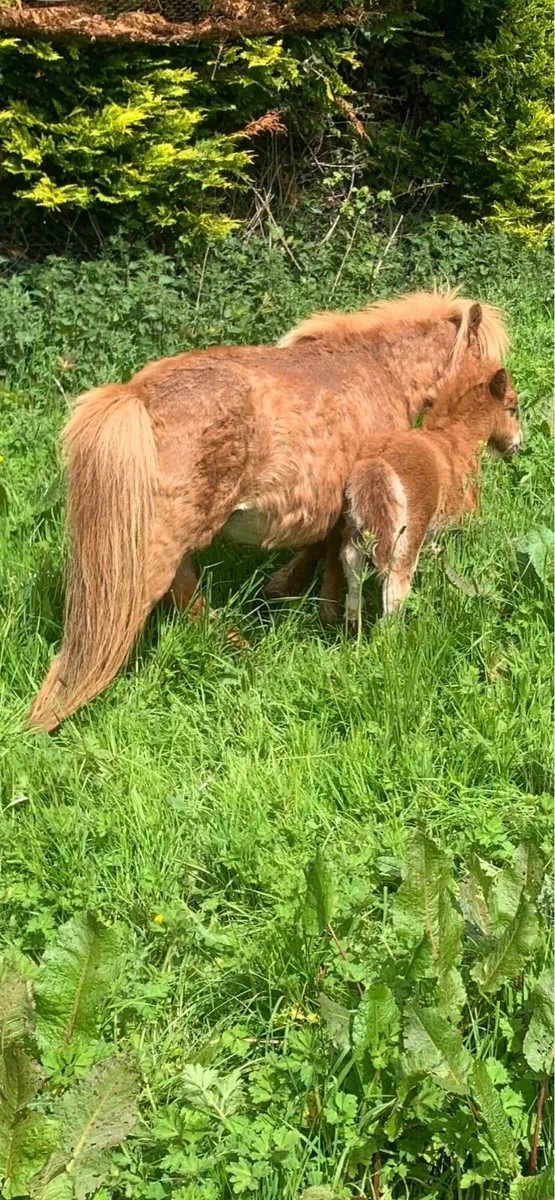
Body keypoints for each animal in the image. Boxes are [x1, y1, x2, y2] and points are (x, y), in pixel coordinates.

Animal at [28, 289, 509, 731]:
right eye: (489, 370)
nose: (508, 443)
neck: (380, 369)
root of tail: (135, 396)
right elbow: (332, 558)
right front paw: (328, 615)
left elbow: (325, 551)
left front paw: (293, 595)